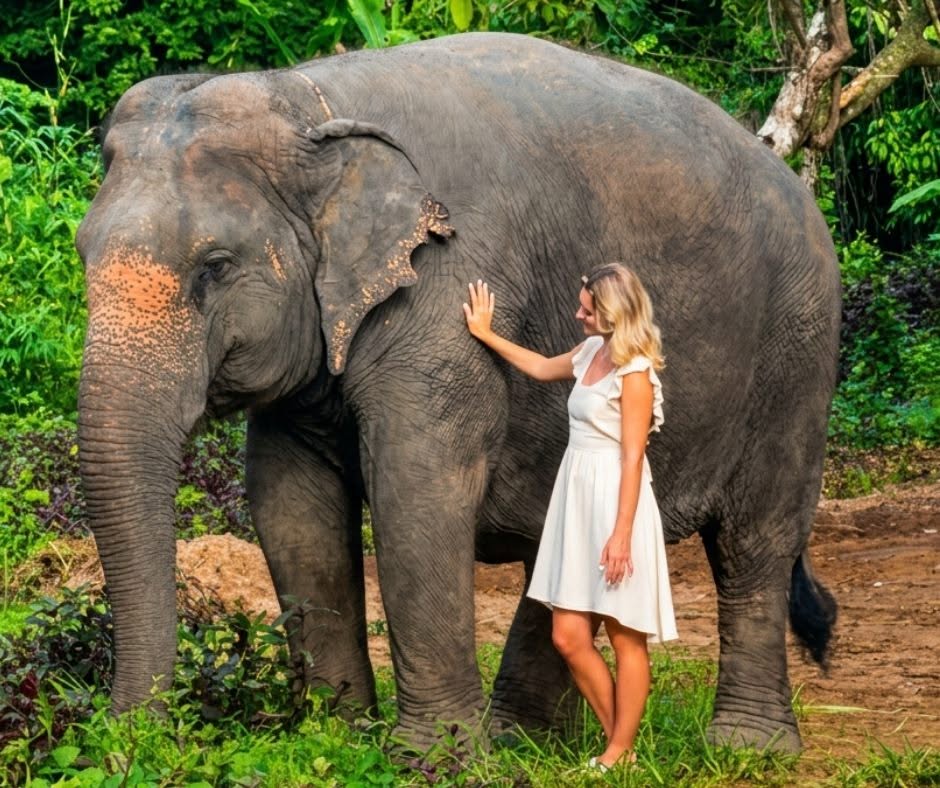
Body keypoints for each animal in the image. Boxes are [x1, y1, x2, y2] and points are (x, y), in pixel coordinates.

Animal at [76, 32, 839, 752]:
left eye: (215, 266)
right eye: (83, 252)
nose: (127, 738)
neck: (309, 100)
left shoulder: (447, 280)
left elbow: (417, 484)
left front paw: (431, 759)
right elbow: (290, 502)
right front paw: (337, 738)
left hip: (798, 348)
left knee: (755, 543)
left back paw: (747, 746)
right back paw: (527, 740)